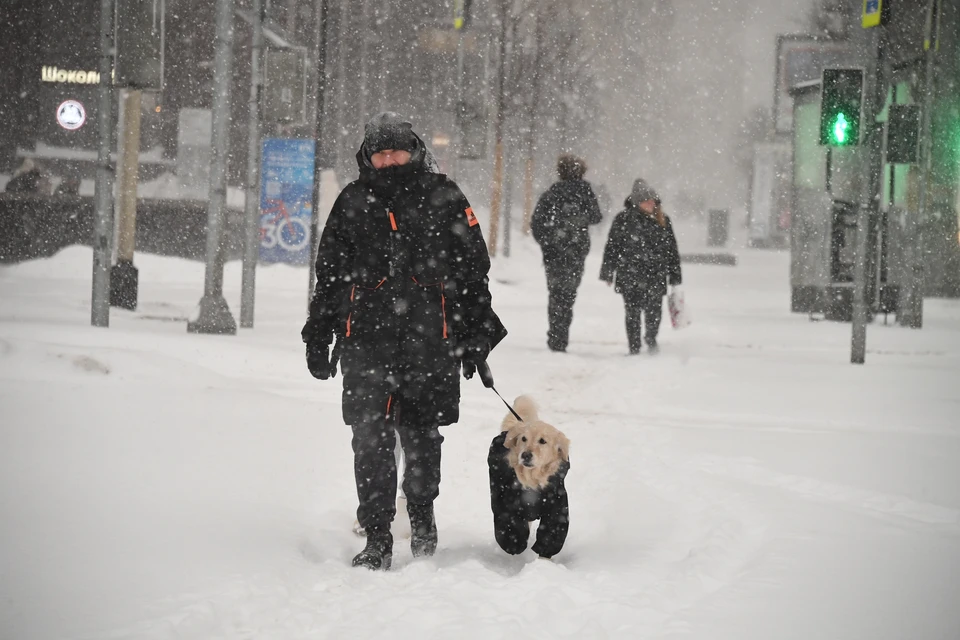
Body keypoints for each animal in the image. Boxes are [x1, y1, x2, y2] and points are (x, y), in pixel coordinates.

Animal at [488, 398, 568, 556]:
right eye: (524, 439)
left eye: (542, 441)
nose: (525, 455)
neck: (532, 480)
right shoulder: (508, 508)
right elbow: (513, 532)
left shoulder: (557, 509)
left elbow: (550, 535)